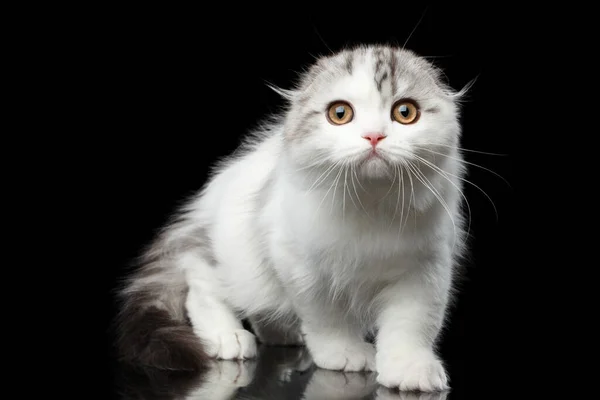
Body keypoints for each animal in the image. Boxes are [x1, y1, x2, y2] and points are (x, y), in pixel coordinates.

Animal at [116, 43, 474, 390]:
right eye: (340, 113)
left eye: (405, 112)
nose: (374, 136)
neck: (369, 207)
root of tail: (210, 196)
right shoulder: (301, 266)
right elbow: (327, 318)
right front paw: (344, 352)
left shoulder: (425, 271)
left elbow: (411, 326)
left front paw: (410, 370)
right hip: (236, 262)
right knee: (201, 285)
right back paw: (227, 336)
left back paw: (280, 334)